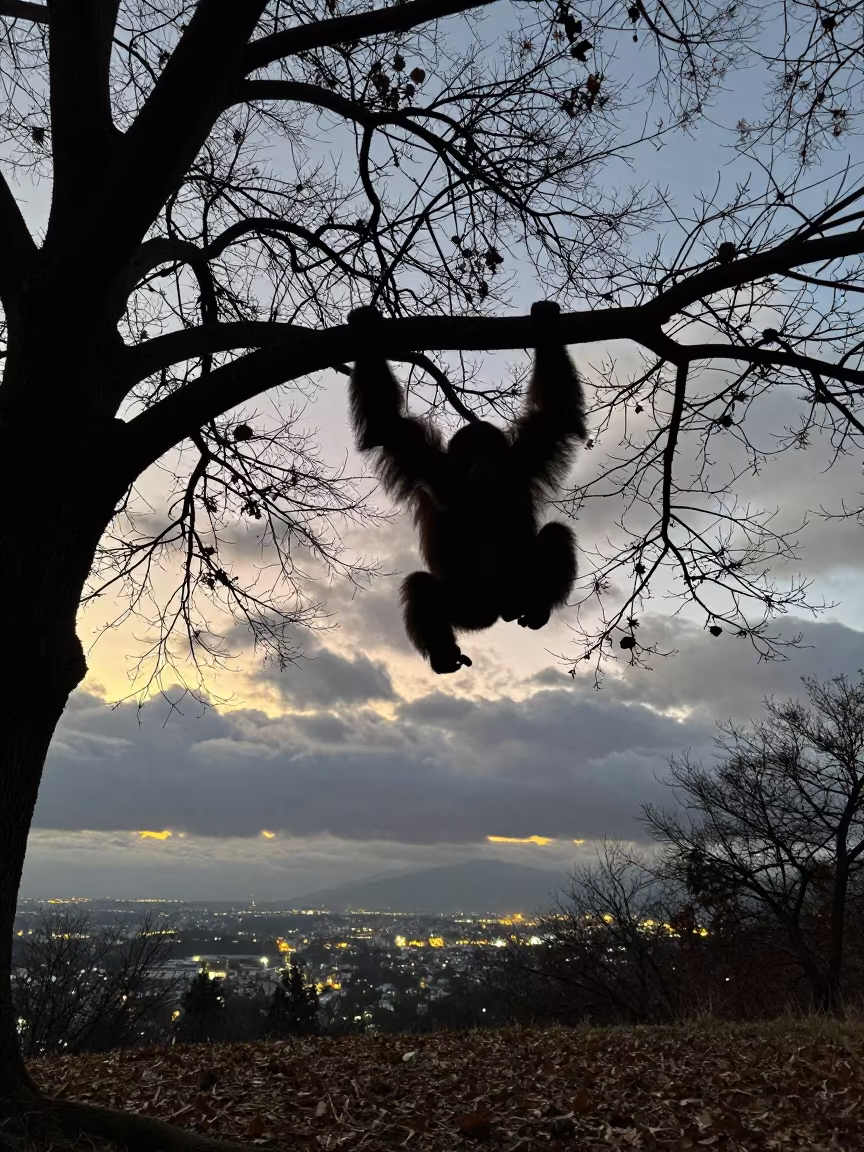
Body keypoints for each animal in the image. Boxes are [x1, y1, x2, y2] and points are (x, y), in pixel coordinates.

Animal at [348, 301, 587, 674]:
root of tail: (501, 611)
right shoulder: (428, 463)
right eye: (470, 454)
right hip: (468, 609)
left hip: (519, 586)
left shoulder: (525, 458)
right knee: (422, 587)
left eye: (489, 452)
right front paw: (366, 326)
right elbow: (387, 424)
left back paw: (536, 609)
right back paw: (445, 656)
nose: (482, 464)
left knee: (555, 535)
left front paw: (545, 322)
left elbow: (557, 412)